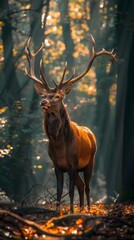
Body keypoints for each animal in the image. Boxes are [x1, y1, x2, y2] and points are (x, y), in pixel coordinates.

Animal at [25, 35, 116, 212]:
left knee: (87, 186)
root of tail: (91, 133)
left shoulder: (73, 164)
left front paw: (72, 211)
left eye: (58, 96)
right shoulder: (57, 166)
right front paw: (58, 211)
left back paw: (87, 209)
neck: (60, 146)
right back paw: (81, 208)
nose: (43, 102)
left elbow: (71, 191)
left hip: (90, 162)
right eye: (44, 95)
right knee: (81, 186)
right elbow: (60, 191)